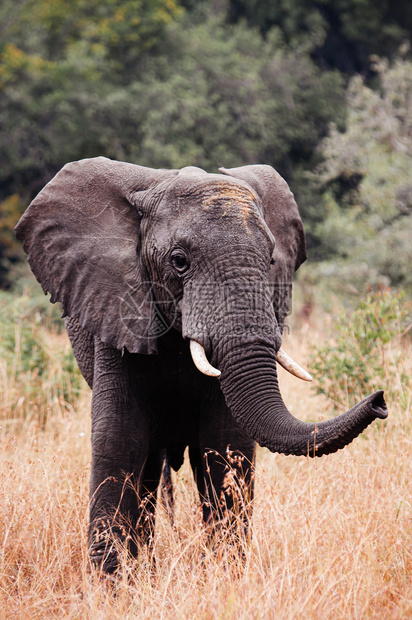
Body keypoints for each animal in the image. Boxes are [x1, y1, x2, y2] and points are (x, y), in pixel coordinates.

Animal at [14, 157, 388, 572]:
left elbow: (225, 444)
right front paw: (111, 584)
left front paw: (226, 576)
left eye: (271, 260)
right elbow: (119, 438)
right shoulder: (114, 306)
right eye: (179, 261)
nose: (380, 400)